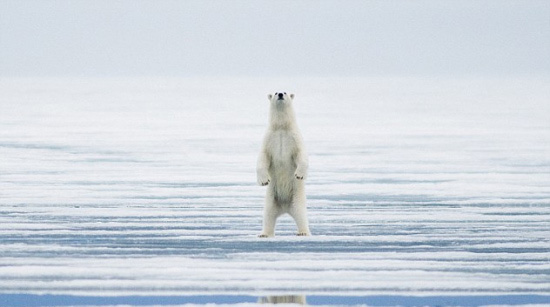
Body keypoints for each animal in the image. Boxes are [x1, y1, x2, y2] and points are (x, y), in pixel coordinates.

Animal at [258, 91, 310, 238]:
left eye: (285, 92)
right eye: (275, 92)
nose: (280, 94)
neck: (281, 127)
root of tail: (285, 208)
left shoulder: (295, 138)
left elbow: (301, 154)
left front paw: (299, 174)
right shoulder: (269, 138)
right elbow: (263, 157)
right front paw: (263, 180)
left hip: (296, 197)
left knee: (301, 214)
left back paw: (303, 232)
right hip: (271, 199)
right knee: (268, 215)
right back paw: (264, 233)